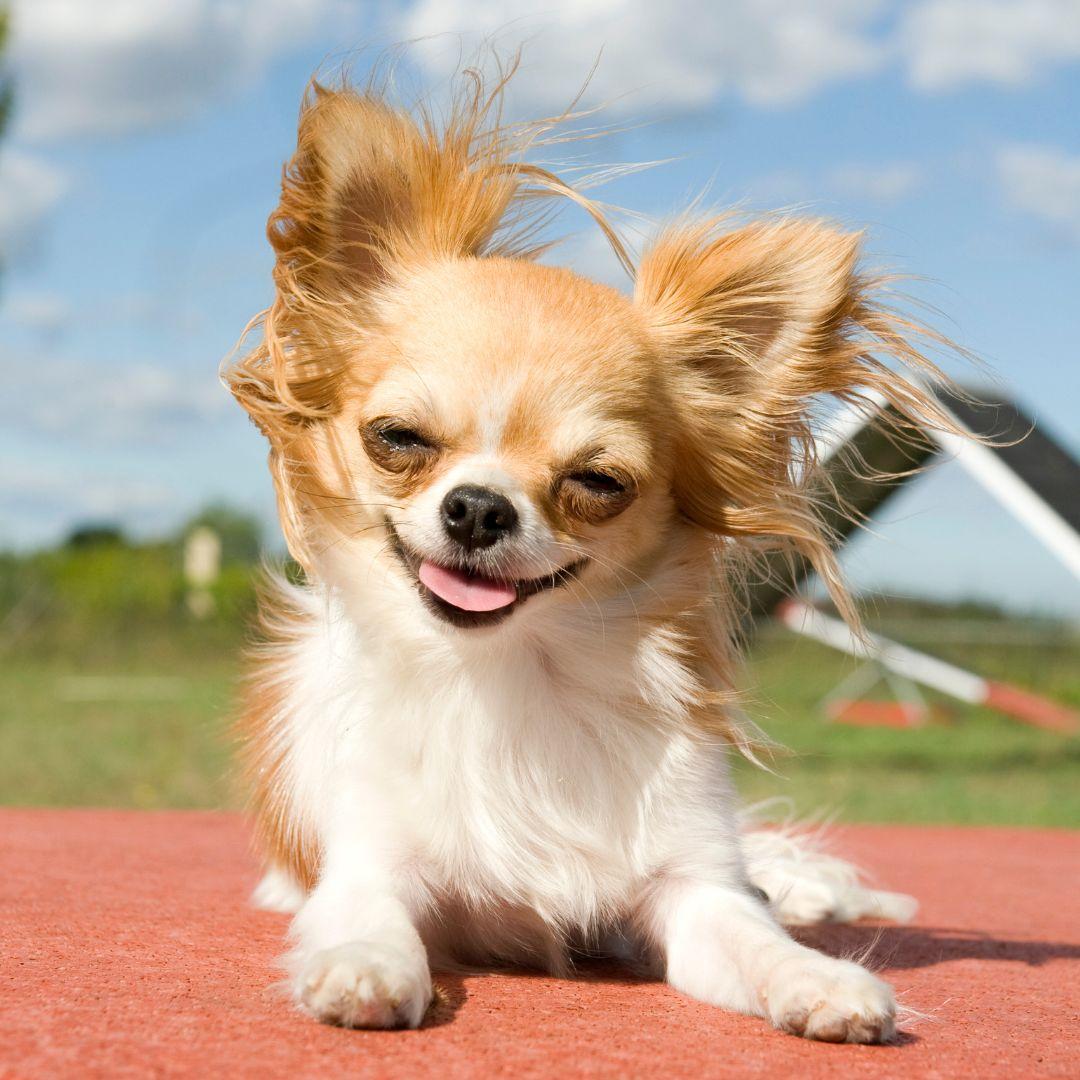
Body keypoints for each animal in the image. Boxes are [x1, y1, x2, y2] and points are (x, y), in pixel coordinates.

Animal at [225, 63, 954, 1041]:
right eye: (398, 438)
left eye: (598, 482)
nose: (478, 509)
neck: (514, 678)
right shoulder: (371, 864)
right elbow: (368, 916)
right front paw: (365, 967)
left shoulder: (694, 890)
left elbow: (753, 936)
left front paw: (820, 978)